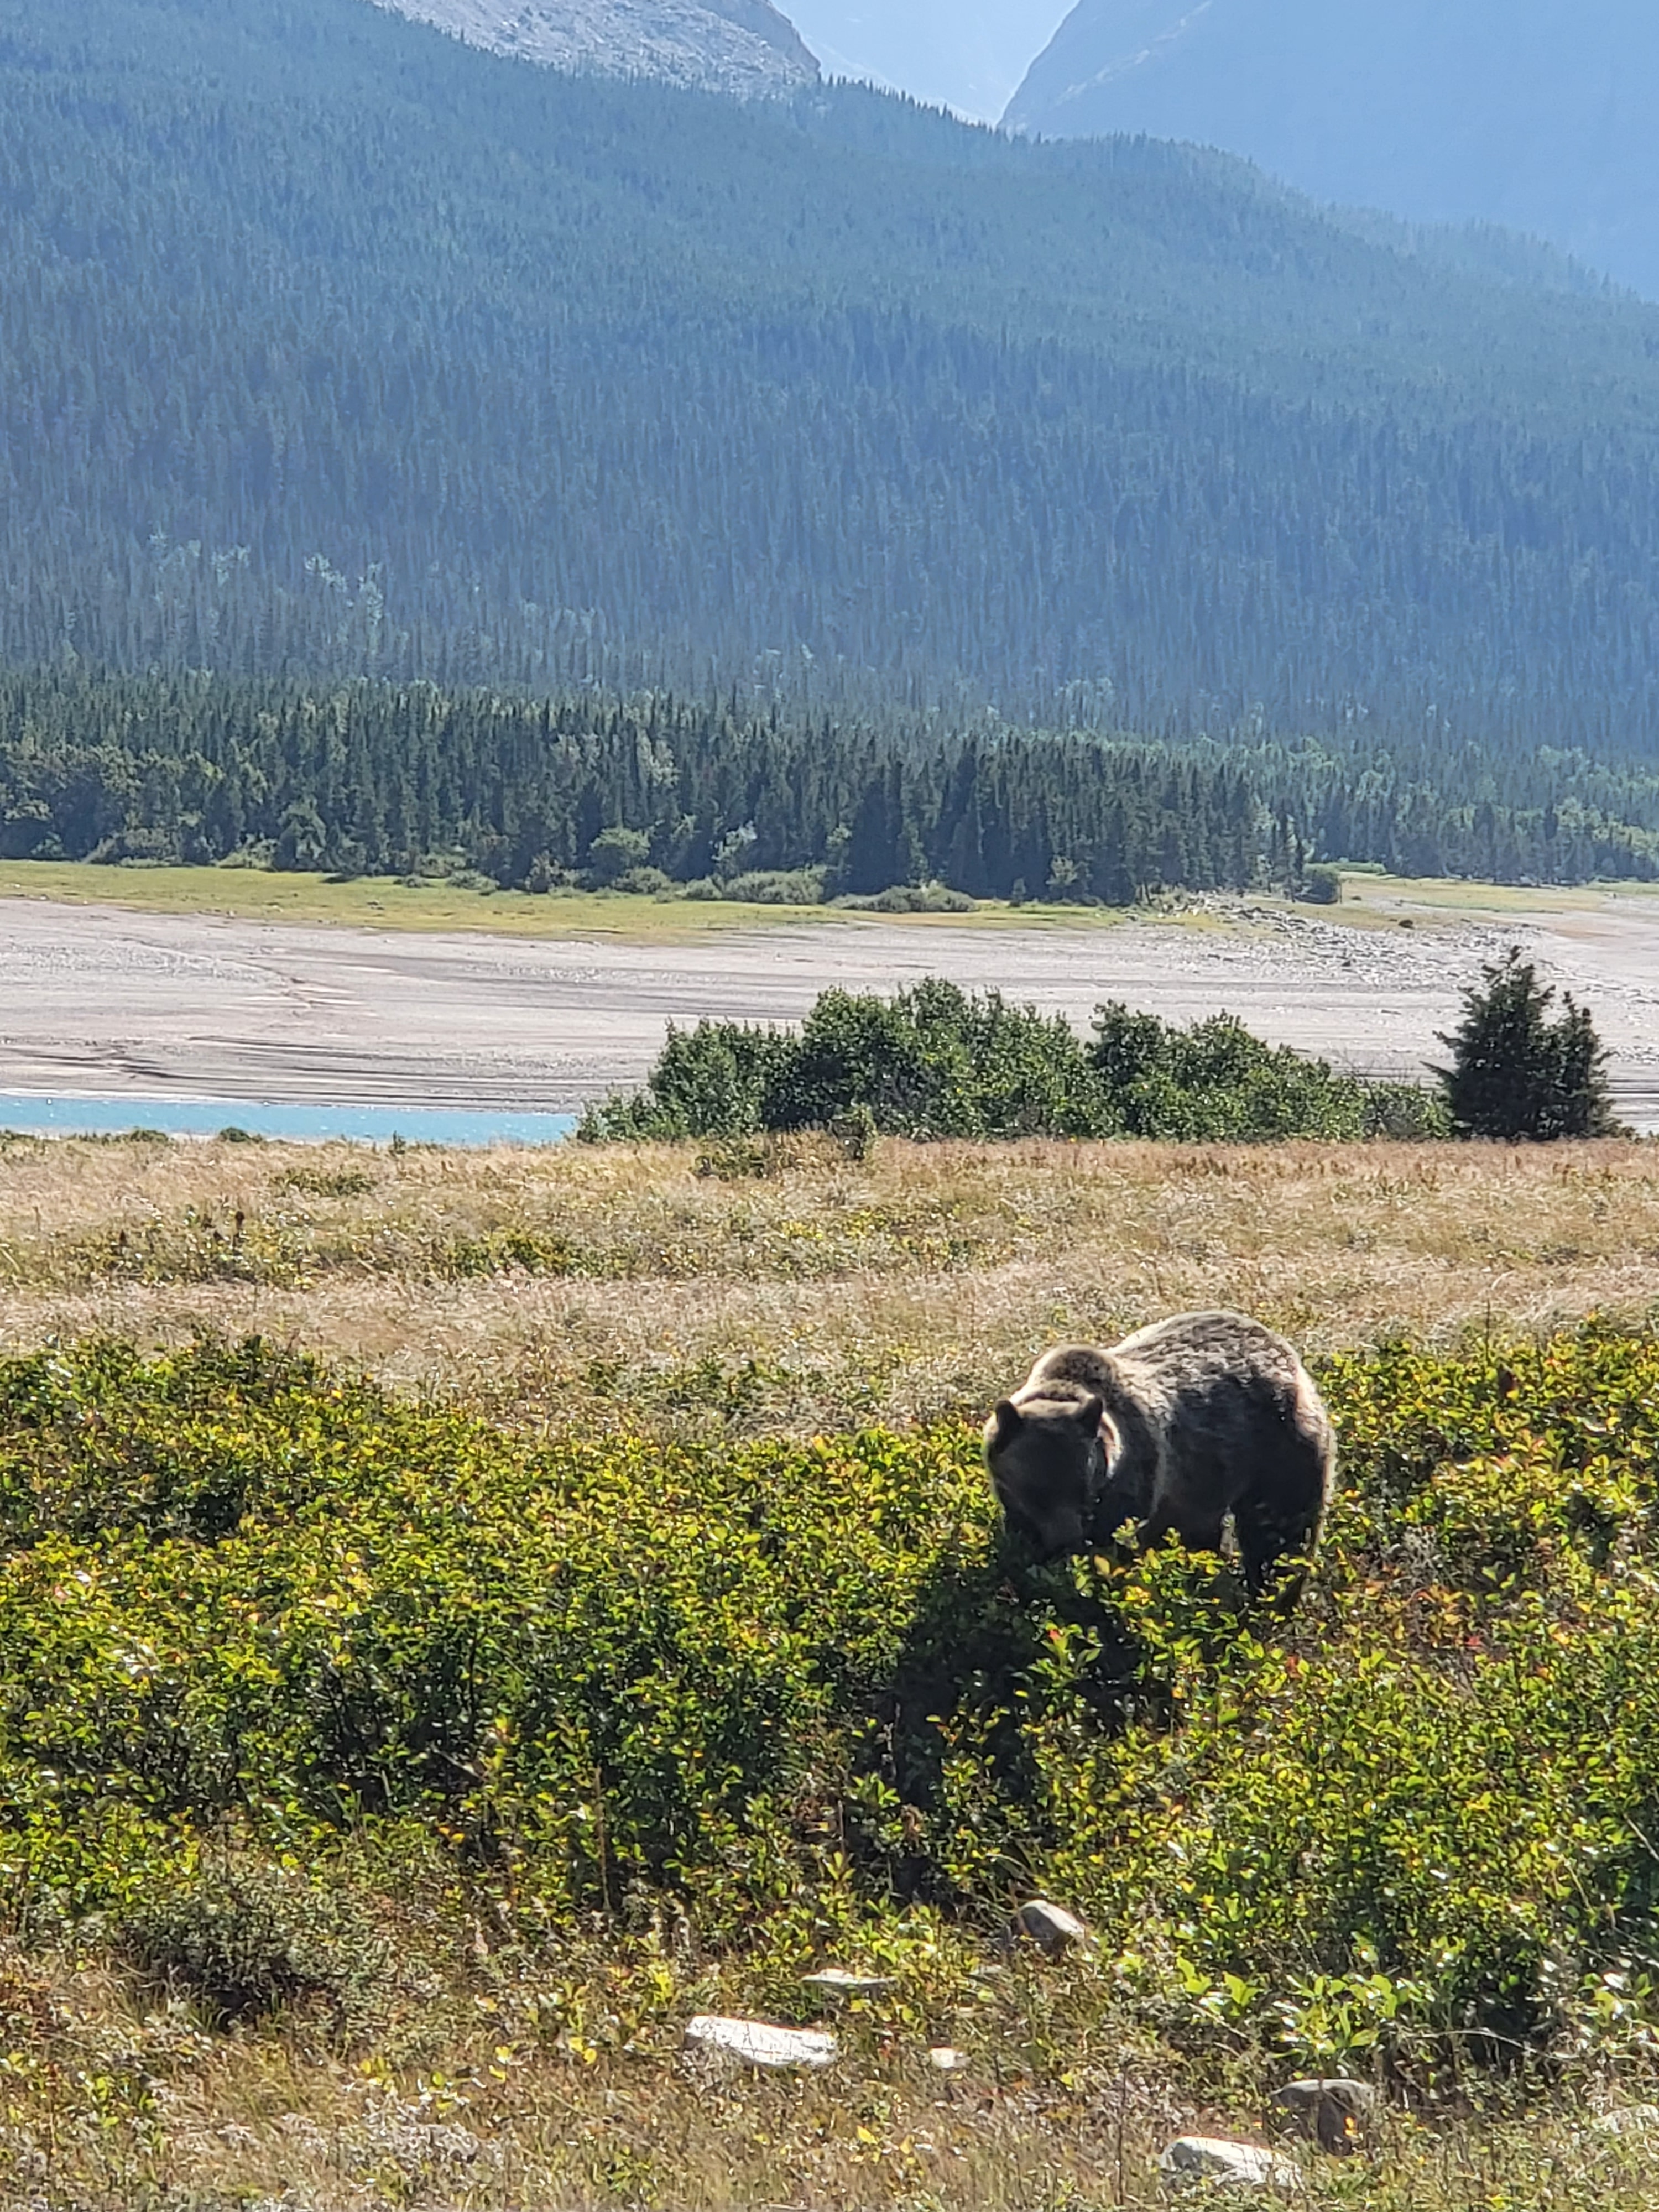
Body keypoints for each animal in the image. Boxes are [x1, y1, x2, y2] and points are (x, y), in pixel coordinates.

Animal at [987, 1301, 1336, 1601]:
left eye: (1085, 1490)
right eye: (1037, 1491)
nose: (1066, 1542)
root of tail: (1286, 1352)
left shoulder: (1135, 1477)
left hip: (1280, 1450)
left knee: (1279, 1531)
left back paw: (1273, 1594)